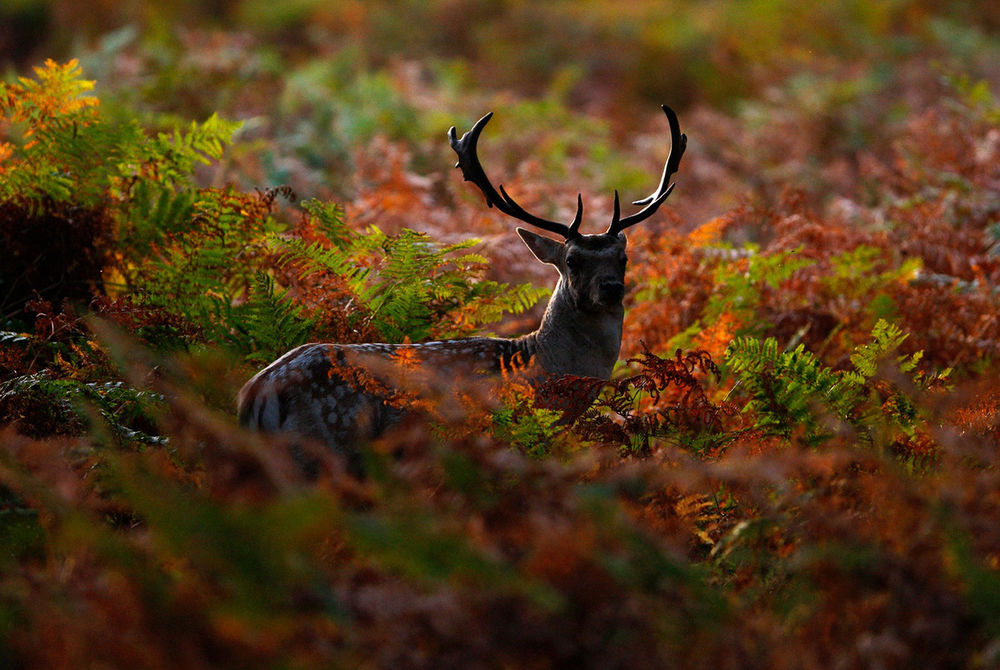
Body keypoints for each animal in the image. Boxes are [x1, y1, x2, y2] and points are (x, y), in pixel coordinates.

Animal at [238, 106, 684, 472]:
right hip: (326, 445)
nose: (610, 288)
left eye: (623, 258)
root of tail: (255, 394)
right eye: (573, 260)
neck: (539, 370)